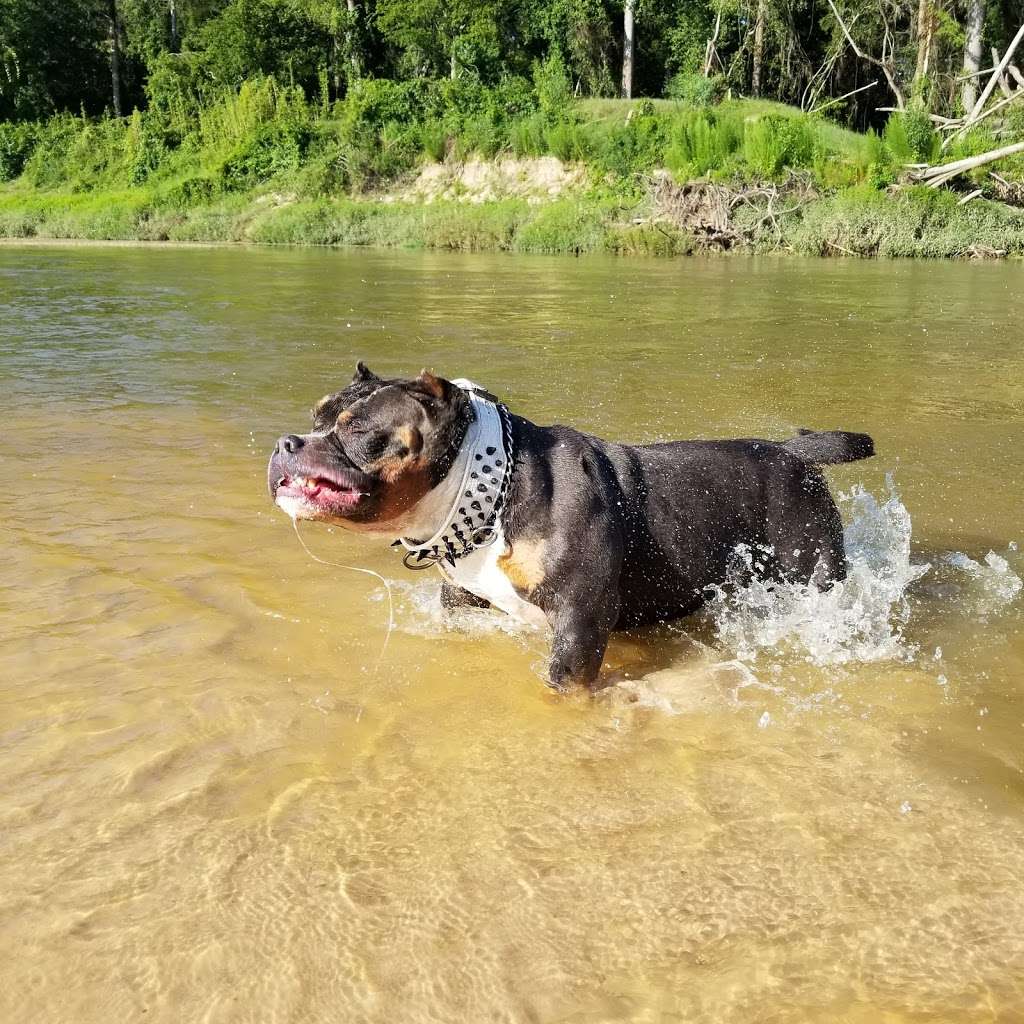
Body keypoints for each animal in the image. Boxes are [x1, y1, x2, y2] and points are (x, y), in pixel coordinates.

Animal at [270, 364, 872, 692]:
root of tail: (794, 454)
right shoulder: (462, 603)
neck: (489, 490)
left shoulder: (579, 623)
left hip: (810, 572)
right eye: (316, 416)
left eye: (359, 431)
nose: (285, 443)